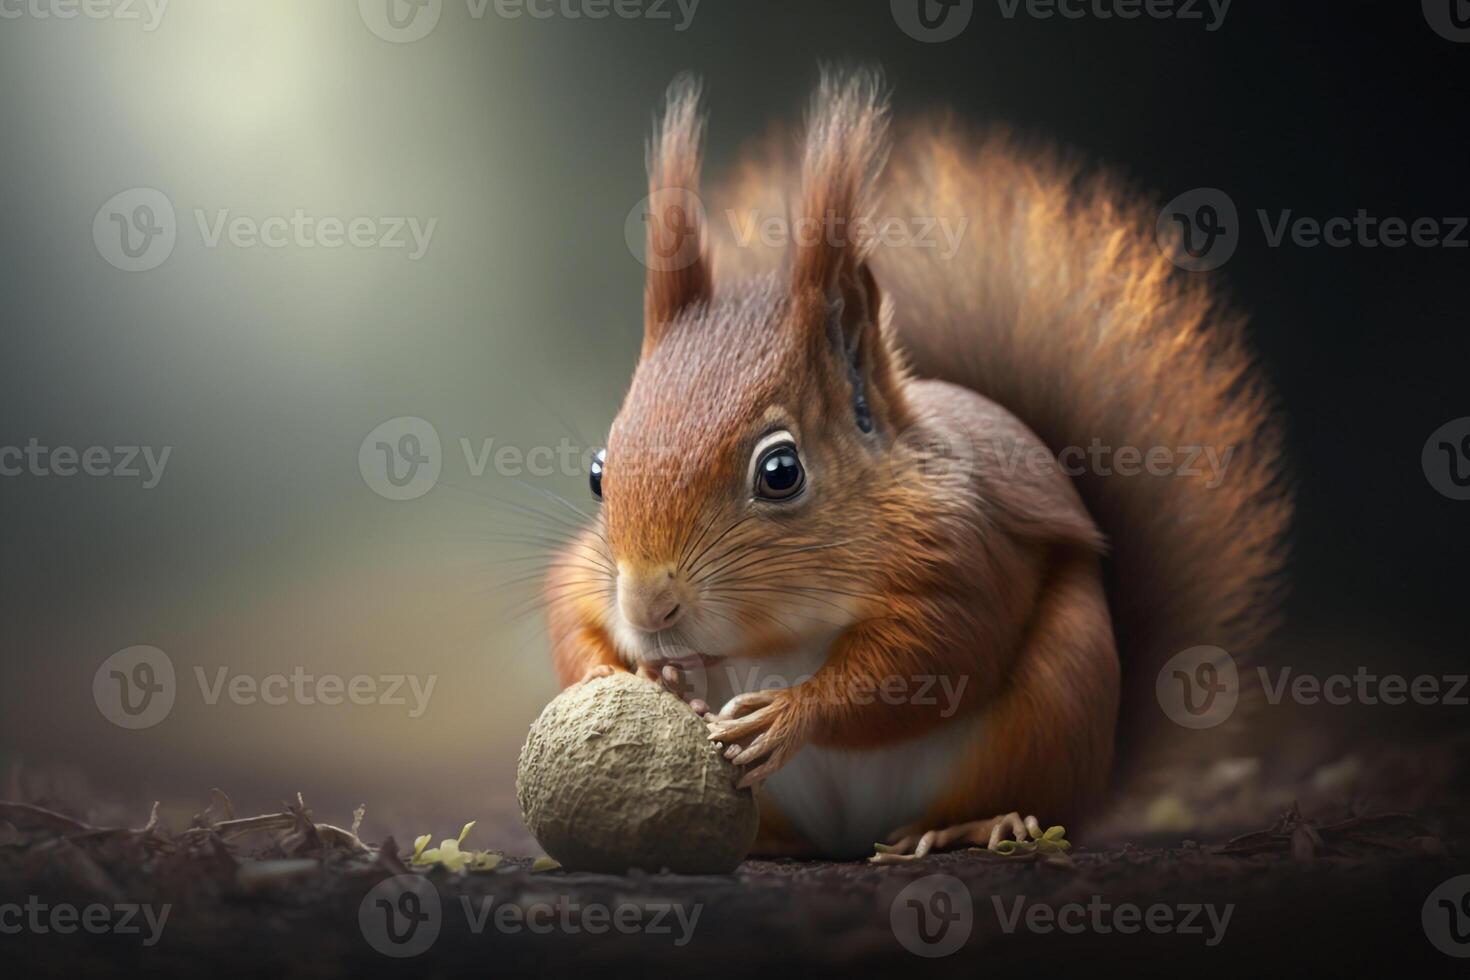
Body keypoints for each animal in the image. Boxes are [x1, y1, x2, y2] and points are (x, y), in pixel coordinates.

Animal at [540, 70, 1287, 858]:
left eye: (781, 472)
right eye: (598, 471)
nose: (648, 607)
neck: (779, 628)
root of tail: (853, 839)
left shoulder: (961, 546)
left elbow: (937, 654)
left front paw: (789, 713)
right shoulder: (587, 572)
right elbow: (568, 605)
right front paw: (621, 670)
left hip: (1060, 690)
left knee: (1022, 791)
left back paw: (977, 824)